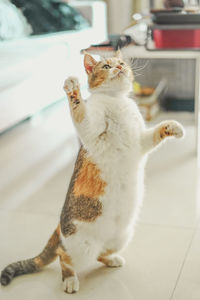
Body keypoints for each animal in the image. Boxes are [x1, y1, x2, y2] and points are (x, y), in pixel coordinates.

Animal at [0, 49, 184, 292]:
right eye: (106, 66)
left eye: (122, 63)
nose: (119, 67)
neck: (117, 101)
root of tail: (59, 229)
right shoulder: (90, 129)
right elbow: (80, 111)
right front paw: (72, 88)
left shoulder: (141, 141)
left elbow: (155, 133)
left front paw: (173, 127)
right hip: (80, 248)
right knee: (64, 258)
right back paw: (69, 280)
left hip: (122, 237)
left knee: (101, 254)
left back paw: (112, 259)